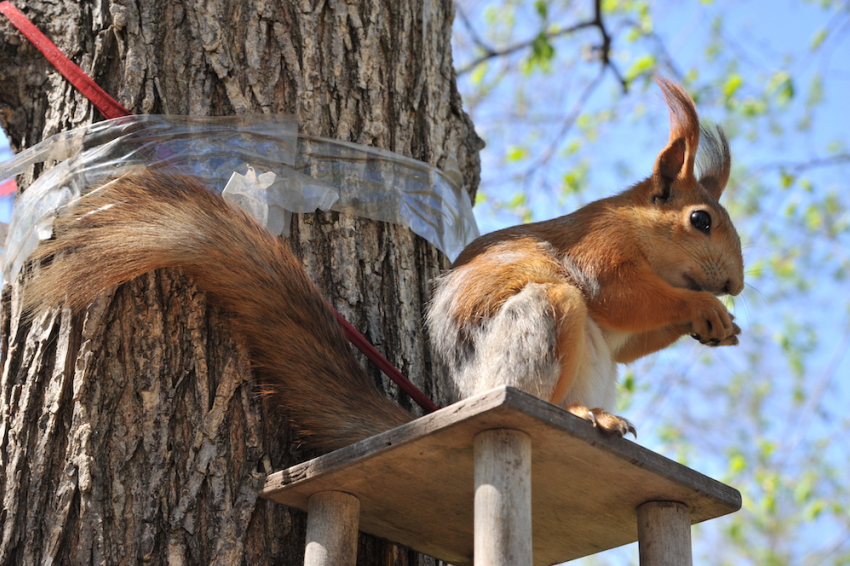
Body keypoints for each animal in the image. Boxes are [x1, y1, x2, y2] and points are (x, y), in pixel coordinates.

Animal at [21, 77, 744, 454]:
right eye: (700, 220)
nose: (736, 283)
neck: (644, 236)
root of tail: (467, 399)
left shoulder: (622, 331)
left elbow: (627, 341)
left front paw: (718, 326)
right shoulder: (599, 251)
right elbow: (618, 294)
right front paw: (702, 308)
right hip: (532, 340)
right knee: (549, 355)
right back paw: (582, 416)